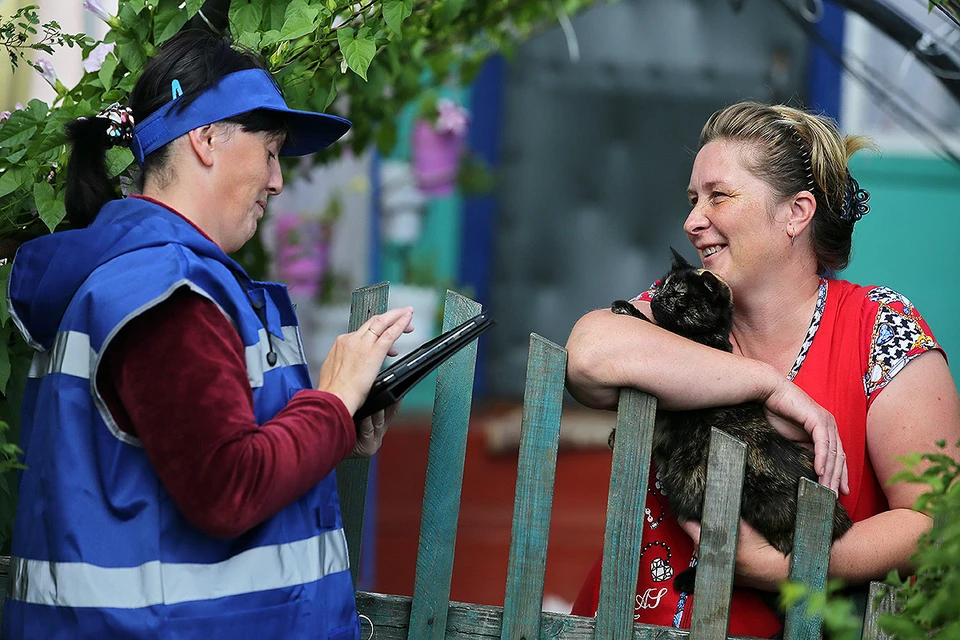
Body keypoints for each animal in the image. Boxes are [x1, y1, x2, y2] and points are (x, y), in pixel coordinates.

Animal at [612, 248, 852, 592]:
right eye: (660, 287)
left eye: (679, 295)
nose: (656, 299)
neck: (702, 336)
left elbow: (653, 330)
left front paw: (628, 309)